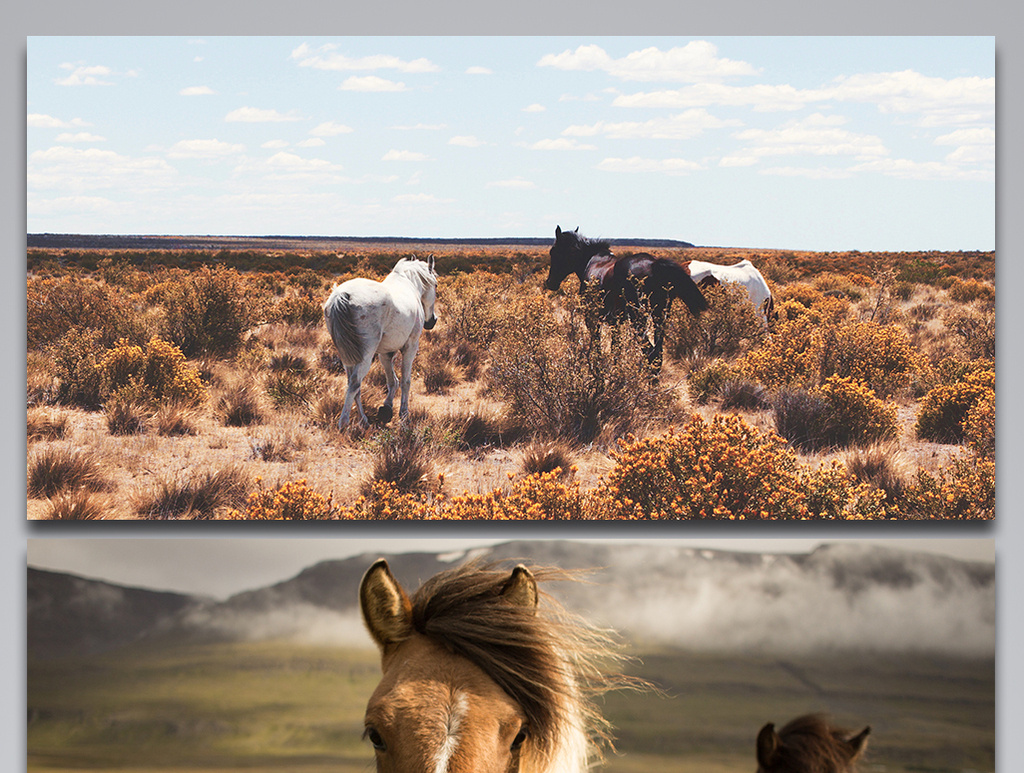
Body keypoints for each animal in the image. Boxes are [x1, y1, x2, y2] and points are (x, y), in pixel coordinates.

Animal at [319, 258, 432, 430]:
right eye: (436, 285)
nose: (432, 322)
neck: (409, 284)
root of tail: (341, 295)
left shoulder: (385, 353)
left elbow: (392, 381)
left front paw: (387, 408)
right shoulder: (410, 347)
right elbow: (405, 381)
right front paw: (404, 414)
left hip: (347, 356)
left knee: (353, 383)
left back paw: (363, 419)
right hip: (365, 356)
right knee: (354, 383)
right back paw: (344, 422)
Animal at [548, 225, 708, 370]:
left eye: (553, 251)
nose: (550, 282)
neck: (592, 261)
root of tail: (654, 265)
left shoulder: (592, 318)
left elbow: (598, 345)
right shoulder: (615, 322)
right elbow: (615, 348)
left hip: (638, 319)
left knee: (650, 352)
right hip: (660, 316)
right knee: (658, 354)